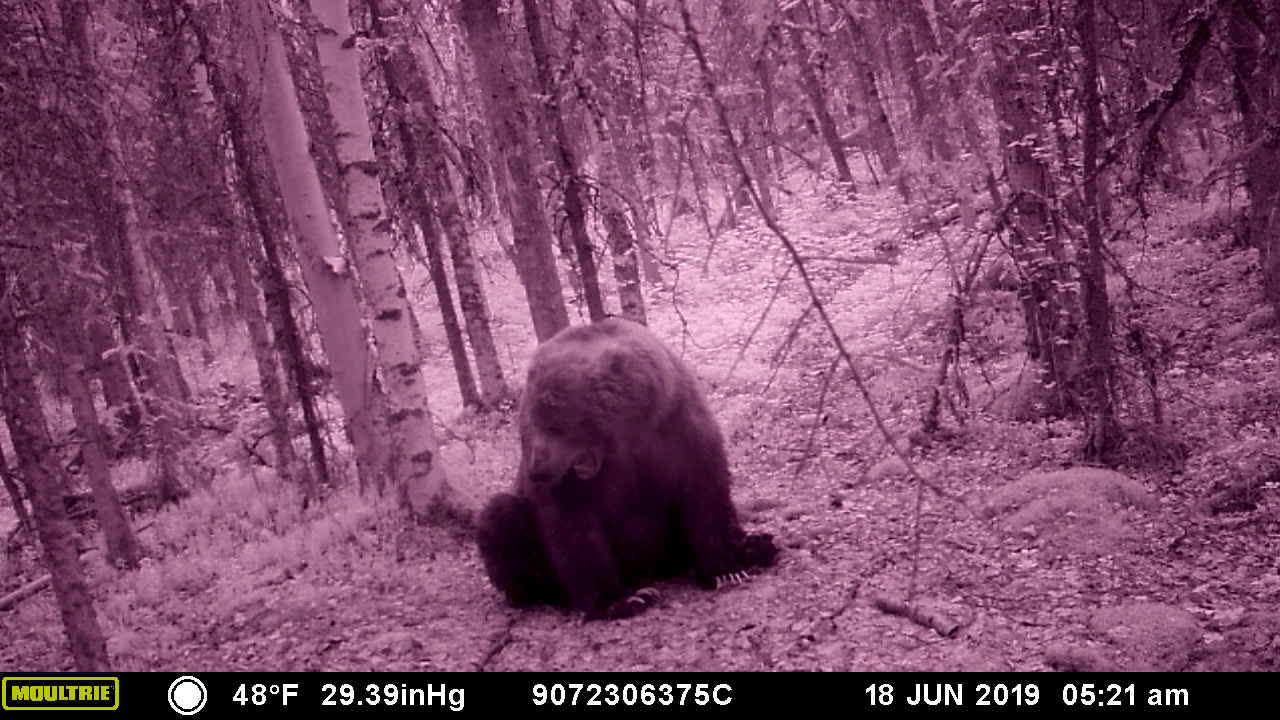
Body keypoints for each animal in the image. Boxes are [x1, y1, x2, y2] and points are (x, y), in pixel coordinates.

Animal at [476, 315, 773, 617]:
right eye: (532, 421)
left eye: (556, 425)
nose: (537, 470)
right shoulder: (573, 483)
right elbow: (573, 526)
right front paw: (624, 599)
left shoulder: (679, 430)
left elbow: (704, 492)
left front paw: (726, 570)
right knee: (500, 516)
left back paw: (755, 546)